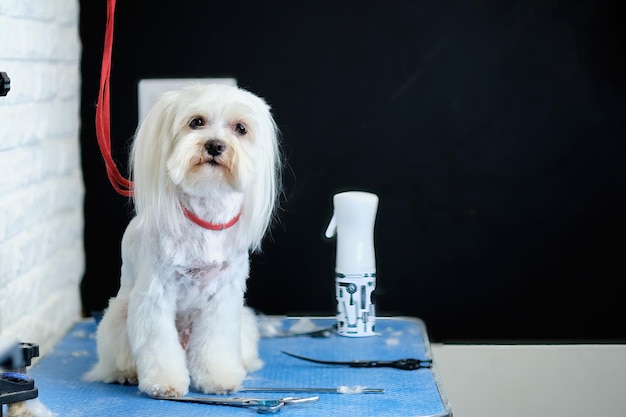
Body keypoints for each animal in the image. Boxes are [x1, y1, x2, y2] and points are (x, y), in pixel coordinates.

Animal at [84, 82, 280, 396]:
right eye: (196, 122)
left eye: (240, 128)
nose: (215, 145)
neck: (205, 213)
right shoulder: (154, 295)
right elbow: (157, 345)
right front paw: (164, 383)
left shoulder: (223, 296)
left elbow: (215, 343)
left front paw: (218, 377)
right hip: (119, 316)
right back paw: (126, 373)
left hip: (243, 322)